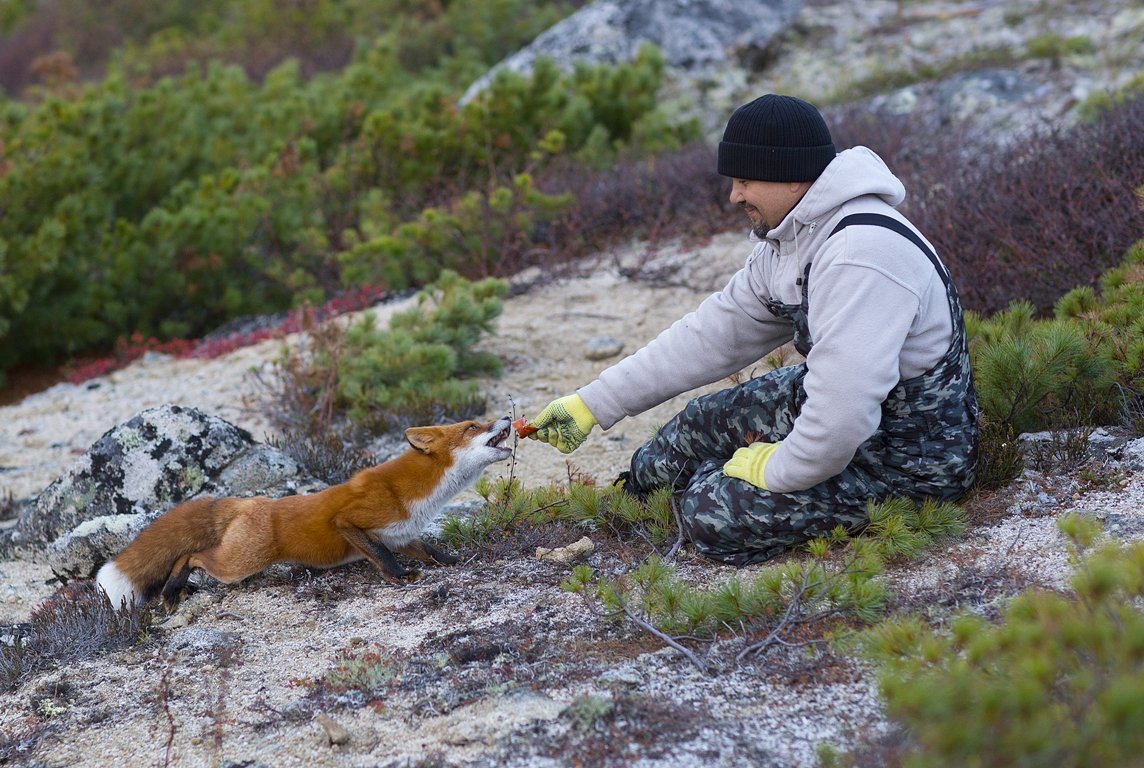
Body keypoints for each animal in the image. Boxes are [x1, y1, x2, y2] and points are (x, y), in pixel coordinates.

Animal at [93, 416, 514, 608]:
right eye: (472, 425)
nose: (508, 419)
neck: (419, 493)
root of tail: (250, 501)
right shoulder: (351, 522)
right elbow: (381, 556)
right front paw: (399, 577)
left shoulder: (403, 532)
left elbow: (432, 551)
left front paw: (454, 561)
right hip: (238, 564)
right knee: (192, 555)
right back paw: (173, 590)